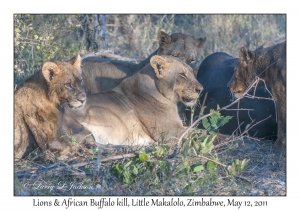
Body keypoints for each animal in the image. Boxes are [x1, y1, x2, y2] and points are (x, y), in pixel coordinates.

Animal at [63, 55, 204, 145]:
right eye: (182, 74)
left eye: (193, 74)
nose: (201, 89)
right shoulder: (169, 132)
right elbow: (201, 133)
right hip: (82, 130)